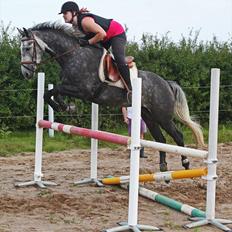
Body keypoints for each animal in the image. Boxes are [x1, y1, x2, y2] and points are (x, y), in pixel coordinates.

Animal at [18, 22, 205, 172]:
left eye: (27, 48)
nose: (26, 73)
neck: (73, 55)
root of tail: (166, 83)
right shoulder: (72, 87)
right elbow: (51, 93)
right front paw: (66, 107)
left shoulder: (83, 90)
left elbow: (52, 91)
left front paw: (65, 107)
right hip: (148, 116)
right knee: (160, 139)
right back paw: (163, 166)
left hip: (162, 115)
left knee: (178, 136)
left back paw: (186, 163)